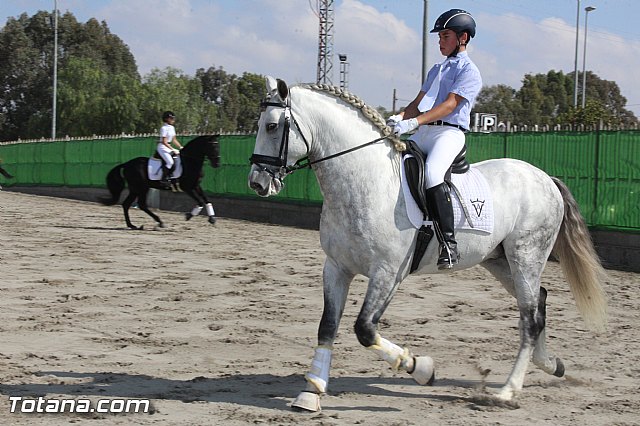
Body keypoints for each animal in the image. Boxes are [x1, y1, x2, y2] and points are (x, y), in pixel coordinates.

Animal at [248, 76, 608, 411]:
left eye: (272, 126)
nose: (257, 182)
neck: (365, 181)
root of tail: (546, 178)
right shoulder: (336, 268)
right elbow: (327, 326)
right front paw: (311, 392)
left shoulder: (387, 273)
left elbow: (365, 329)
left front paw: (421, 368)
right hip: (499, 261)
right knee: (538, 303)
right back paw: (549, 364)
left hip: (526, 257)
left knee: (531, 318)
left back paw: (508, 391)